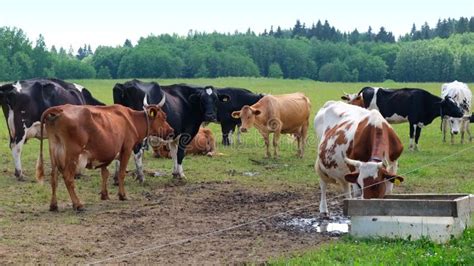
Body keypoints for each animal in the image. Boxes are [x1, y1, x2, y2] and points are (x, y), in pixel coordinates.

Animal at [36, 104, 174, 212]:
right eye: (164, 117)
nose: (172, 131)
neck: (131, 119)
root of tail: (60, 108)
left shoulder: (106, 153)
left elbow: (105, 173)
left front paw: (104, 195)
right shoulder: (126, 149)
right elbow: (121, 173)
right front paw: (122, 195)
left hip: (54, 152)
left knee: (54, 178)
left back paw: (53, 205)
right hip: (72, 155)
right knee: (68, 178)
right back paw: (78, 204)